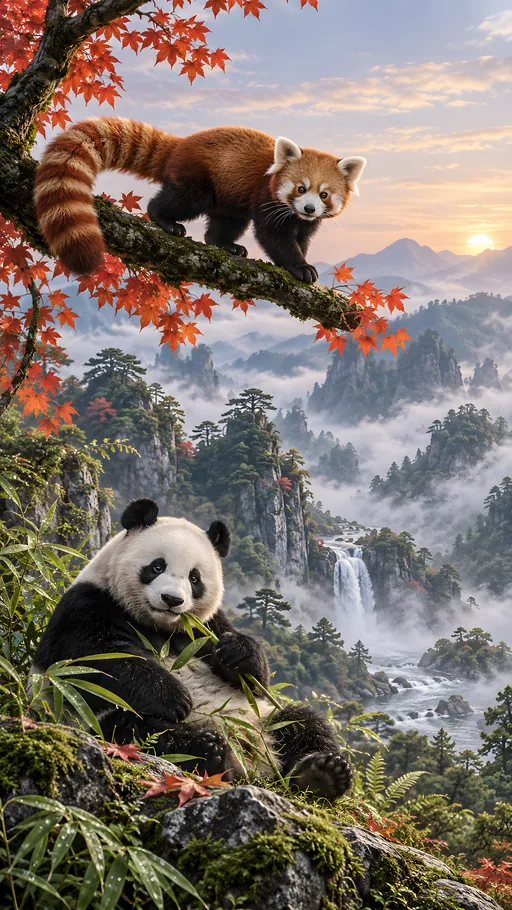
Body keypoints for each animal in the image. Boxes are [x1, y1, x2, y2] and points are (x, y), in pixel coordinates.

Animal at [33, 498, 353, 800]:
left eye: (194, 577)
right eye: (157, 566)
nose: (172, 599)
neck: (158, 626)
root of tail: (252, 764)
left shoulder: (205, 625)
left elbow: (256, 682)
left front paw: (238, 653)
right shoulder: (88, 603)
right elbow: (95, 658)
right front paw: (175, 698)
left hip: (264, 721)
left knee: (302, 722)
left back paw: (323, 773)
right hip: (87, 716)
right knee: (134, 729)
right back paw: (207, 748)